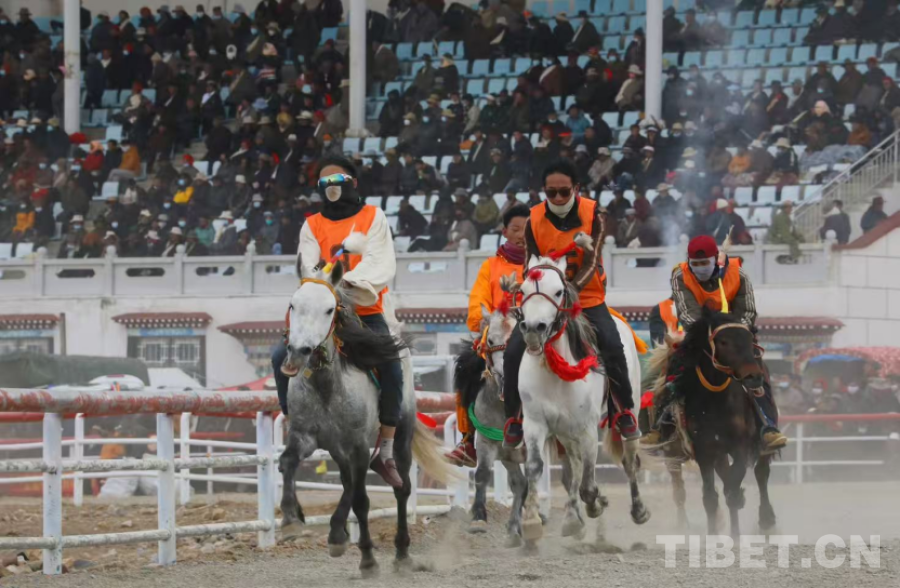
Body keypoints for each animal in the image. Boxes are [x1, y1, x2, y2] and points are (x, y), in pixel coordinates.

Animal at [277, 255, 456, 576]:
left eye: (329, 309)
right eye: (293, 305)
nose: (298, 352)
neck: (326, 385)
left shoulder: (359, 445)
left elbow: (361, 499)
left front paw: (358, 552)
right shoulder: (304, 436)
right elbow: (287, 462)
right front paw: (291, 519)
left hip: (400, 434)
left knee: (401, 488)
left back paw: (401, 552)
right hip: (338, 449)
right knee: (348, 482)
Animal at [453, 305, 529, 546]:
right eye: (491, 340)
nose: (506, 375)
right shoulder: (488, 441)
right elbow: (483, 474)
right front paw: (478, 517)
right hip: (508, 456)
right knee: (519, 483)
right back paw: (514, 528)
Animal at [510, 253, 650, 545]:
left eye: (558, 291)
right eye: (524, 291)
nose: (534, 328)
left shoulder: (587, 429)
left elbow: (588, 485)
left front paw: (596, 504)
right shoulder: (535, 424)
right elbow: (536, 467)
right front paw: (531, 521)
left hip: (627, 411)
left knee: (629, 459)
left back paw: (638, 510)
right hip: (564, 431)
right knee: (573, 468)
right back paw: (573, 518)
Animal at [644, 307, 777, 537]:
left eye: (750, 339)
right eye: (723, 341)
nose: (753, 377)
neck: (716, 401)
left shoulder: (740, 448)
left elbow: (733, 487)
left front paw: (735, 535)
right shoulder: (703, 452)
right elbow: (709, 497)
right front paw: (713, 535)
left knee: (761, 473)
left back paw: (767, 520)